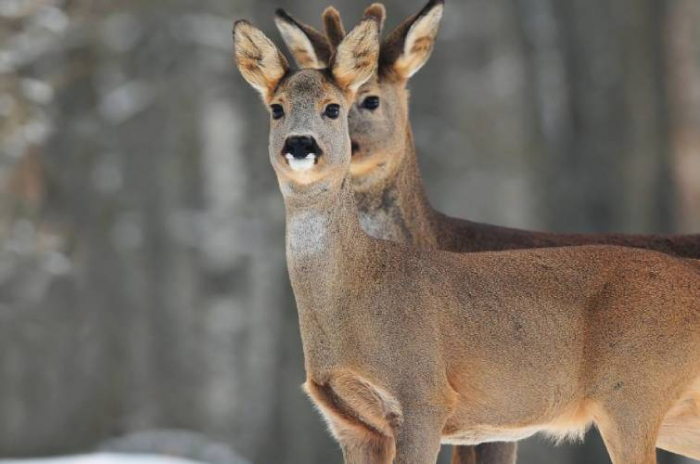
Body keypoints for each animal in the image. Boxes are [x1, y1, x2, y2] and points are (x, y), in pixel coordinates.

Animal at [234, 13, 700, 464]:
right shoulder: (350, 423)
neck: (359, 287)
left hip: (632, 393)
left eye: (334, 108)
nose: (300, 144)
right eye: (276, 109)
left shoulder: (423, 394)